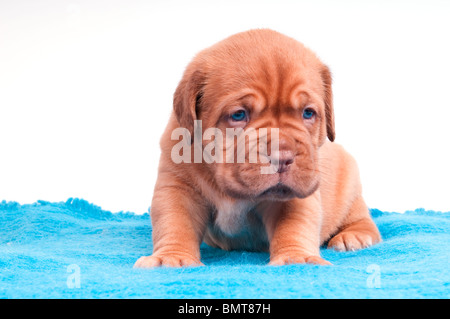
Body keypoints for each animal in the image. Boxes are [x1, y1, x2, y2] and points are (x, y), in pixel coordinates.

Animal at [133, 29, 380, 268]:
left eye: (308, 113)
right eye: (238, 115)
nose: (283, 158)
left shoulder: (295, 196)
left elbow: (294, 226)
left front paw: (297, 258)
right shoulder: (178, 187)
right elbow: (175, 222)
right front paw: (172, 257)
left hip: (350, 186)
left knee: (362, 218)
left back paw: (355, 236)